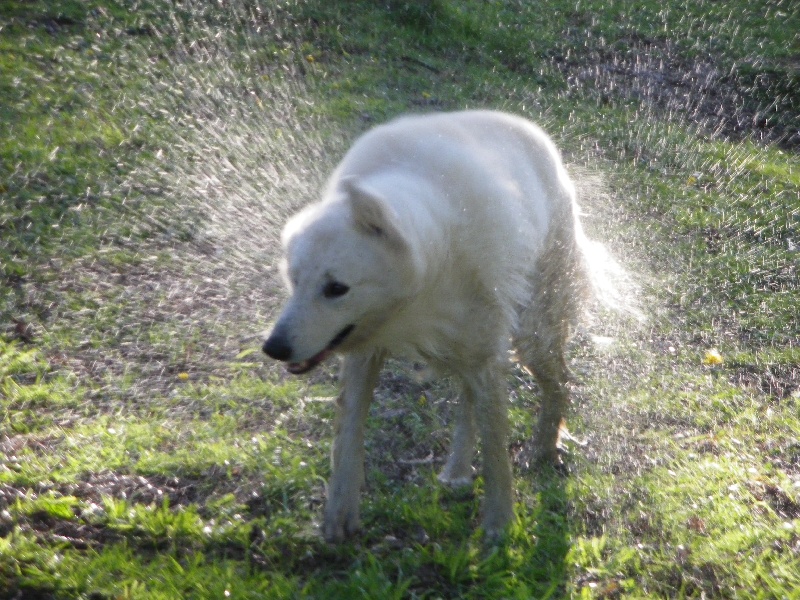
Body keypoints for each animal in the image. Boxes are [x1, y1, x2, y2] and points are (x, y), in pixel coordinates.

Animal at [266, 110, 596, 540]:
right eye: (293, 279)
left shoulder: (485, 352)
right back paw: (457, 471)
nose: (273, 348)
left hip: (531, 334)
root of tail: (528, 128)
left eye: (336, 288)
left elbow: (496, 449)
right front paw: (338, 522)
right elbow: (347, 438)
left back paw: (541, 449)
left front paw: (499, 529)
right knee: (472, 400)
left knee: (559, 383)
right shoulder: (364, 356)